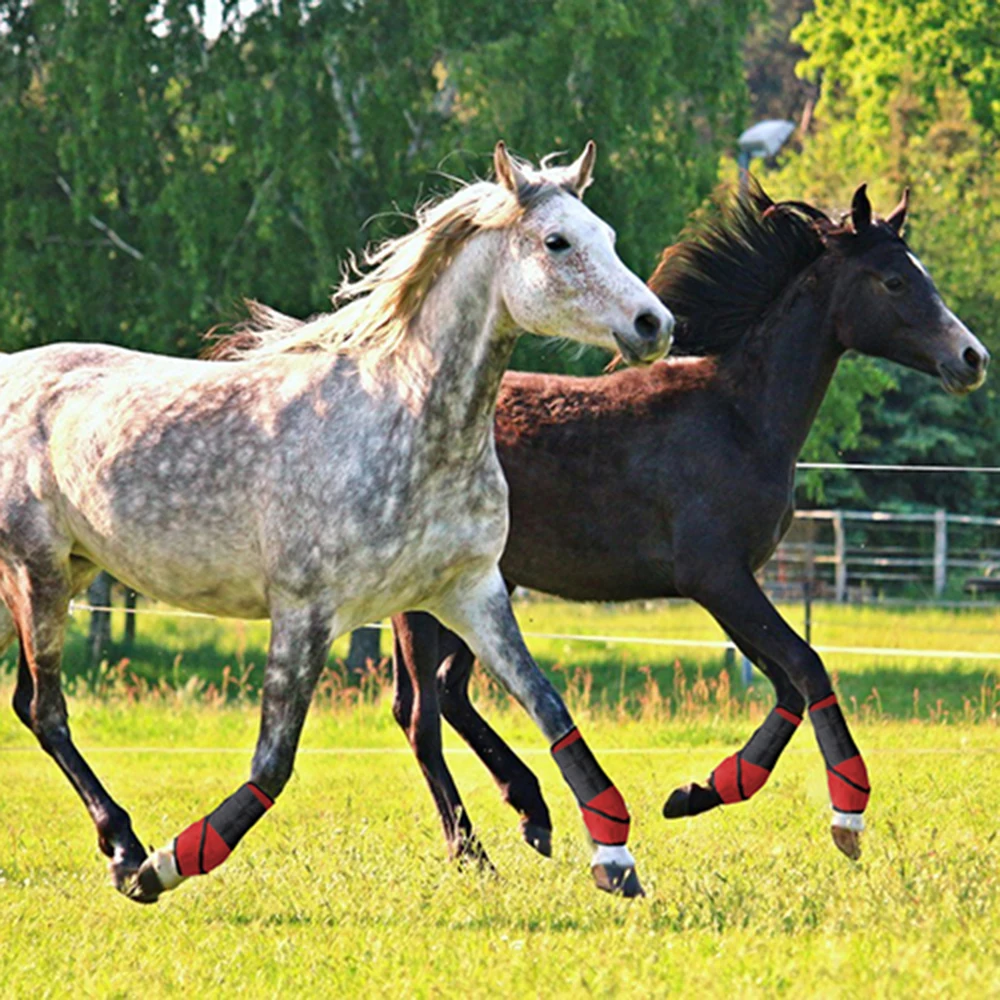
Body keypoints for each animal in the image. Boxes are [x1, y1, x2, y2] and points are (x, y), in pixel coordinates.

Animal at [0, 141, 672, 903]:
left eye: (607, 236)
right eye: (557, 242)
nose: (655, 325)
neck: (407, 425)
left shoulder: (469, 592)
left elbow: (550, 708)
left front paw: (611, 857)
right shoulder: (305, 612)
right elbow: (273, 762)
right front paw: (162, 867)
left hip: (56, 577)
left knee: (26, 704)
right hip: (37, 574)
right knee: (45, 709)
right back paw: (122, 847)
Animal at [390, 182, 989, 866]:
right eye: (893, 280)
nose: (972, 358)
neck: (739, 416)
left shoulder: (732, 584)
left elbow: (787, 684)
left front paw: (701, 791)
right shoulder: (717, 578)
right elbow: (807, 665)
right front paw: (848, 813)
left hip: (484, 586)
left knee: (446, 694)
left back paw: (530, 811)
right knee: (421, 713)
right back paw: (473, 850)